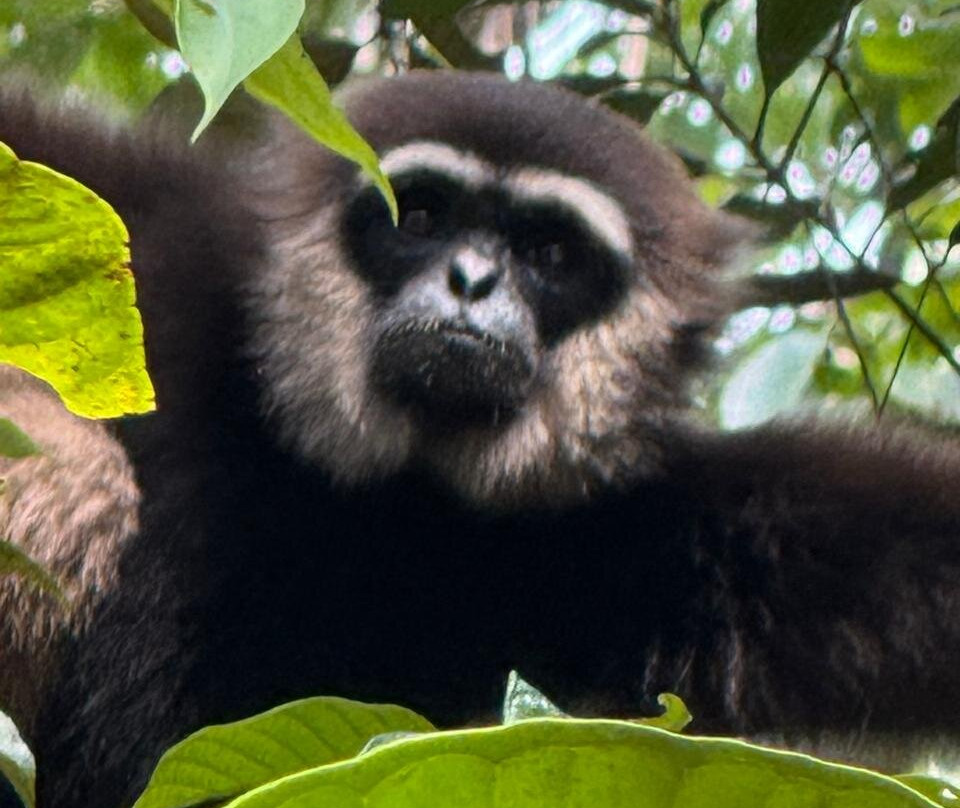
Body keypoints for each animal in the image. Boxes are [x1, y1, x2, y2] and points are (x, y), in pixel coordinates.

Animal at [1, 70, 960, 808]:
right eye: (422, 217)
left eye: (549, 254)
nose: (471, 279)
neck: (401, 504)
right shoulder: (156, 251)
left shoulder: (660, 538)